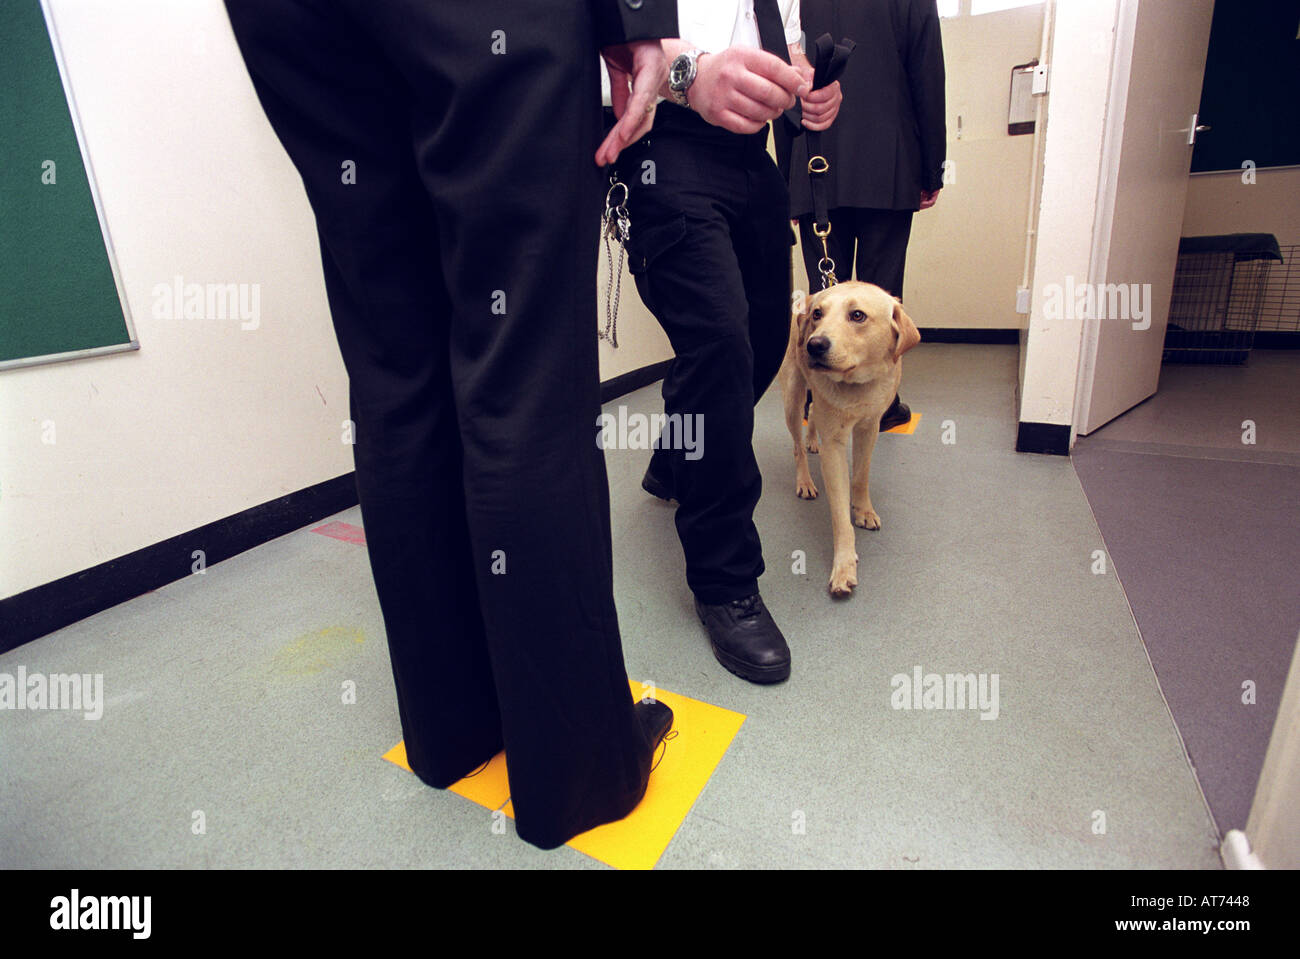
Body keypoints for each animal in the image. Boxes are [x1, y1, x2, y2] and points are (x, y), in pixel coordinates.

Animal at [774, 280, 920, 597]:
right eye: (818, 314)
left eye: (857, 315)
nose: (814, 344)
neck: (857, 385)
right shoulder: (835, 445)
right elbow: (841, 517)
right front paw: (843, 566)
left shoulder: (869, 428)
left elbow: (861, 477)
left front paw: (863, 510)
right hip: (792, 397)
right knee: (797, 446)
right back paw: (805, 480)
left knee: (813, 412)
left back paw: (812, 441)